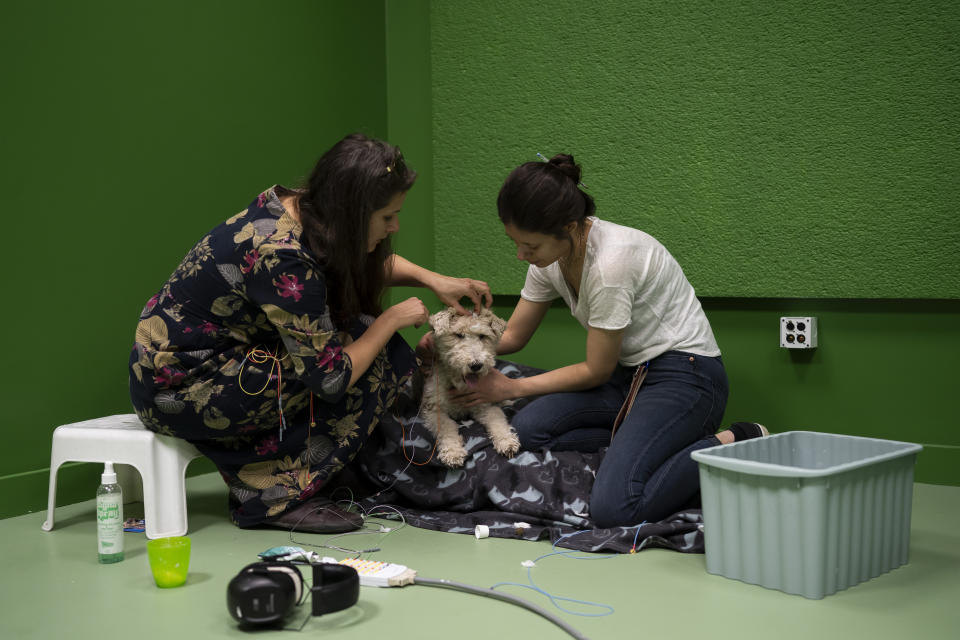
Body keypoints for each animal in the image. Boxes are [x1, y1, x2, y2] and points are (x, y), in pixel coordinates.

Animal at [422, 308, 520, 468]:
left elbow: (497, 420)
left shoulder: (484, 404)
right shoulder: (433, 410)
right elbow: (447, 427)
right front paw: (453, 453)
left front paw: (507, 442)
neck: (459, 386)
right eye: (458, 335)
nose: (476, 365)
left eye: (483, 336)